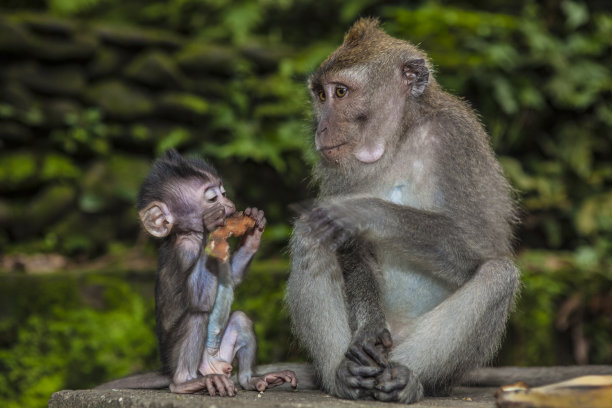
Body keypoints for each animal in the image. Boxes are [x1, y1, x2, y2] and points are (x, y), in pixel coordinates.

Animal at [136, 150, 296, 396]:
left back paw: (251, 379)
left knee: (240, 319)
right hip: (179, 361)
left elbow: (232, 276)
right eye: (213, 199)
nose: (230, 205)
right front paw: (211, 225)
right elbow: (198, 299)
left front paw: (253, 229)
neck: (191, 233)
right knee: (196, 315)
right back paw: (185, 383)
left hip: (223, 354)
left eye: (224, 193)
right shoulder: (186, 248)